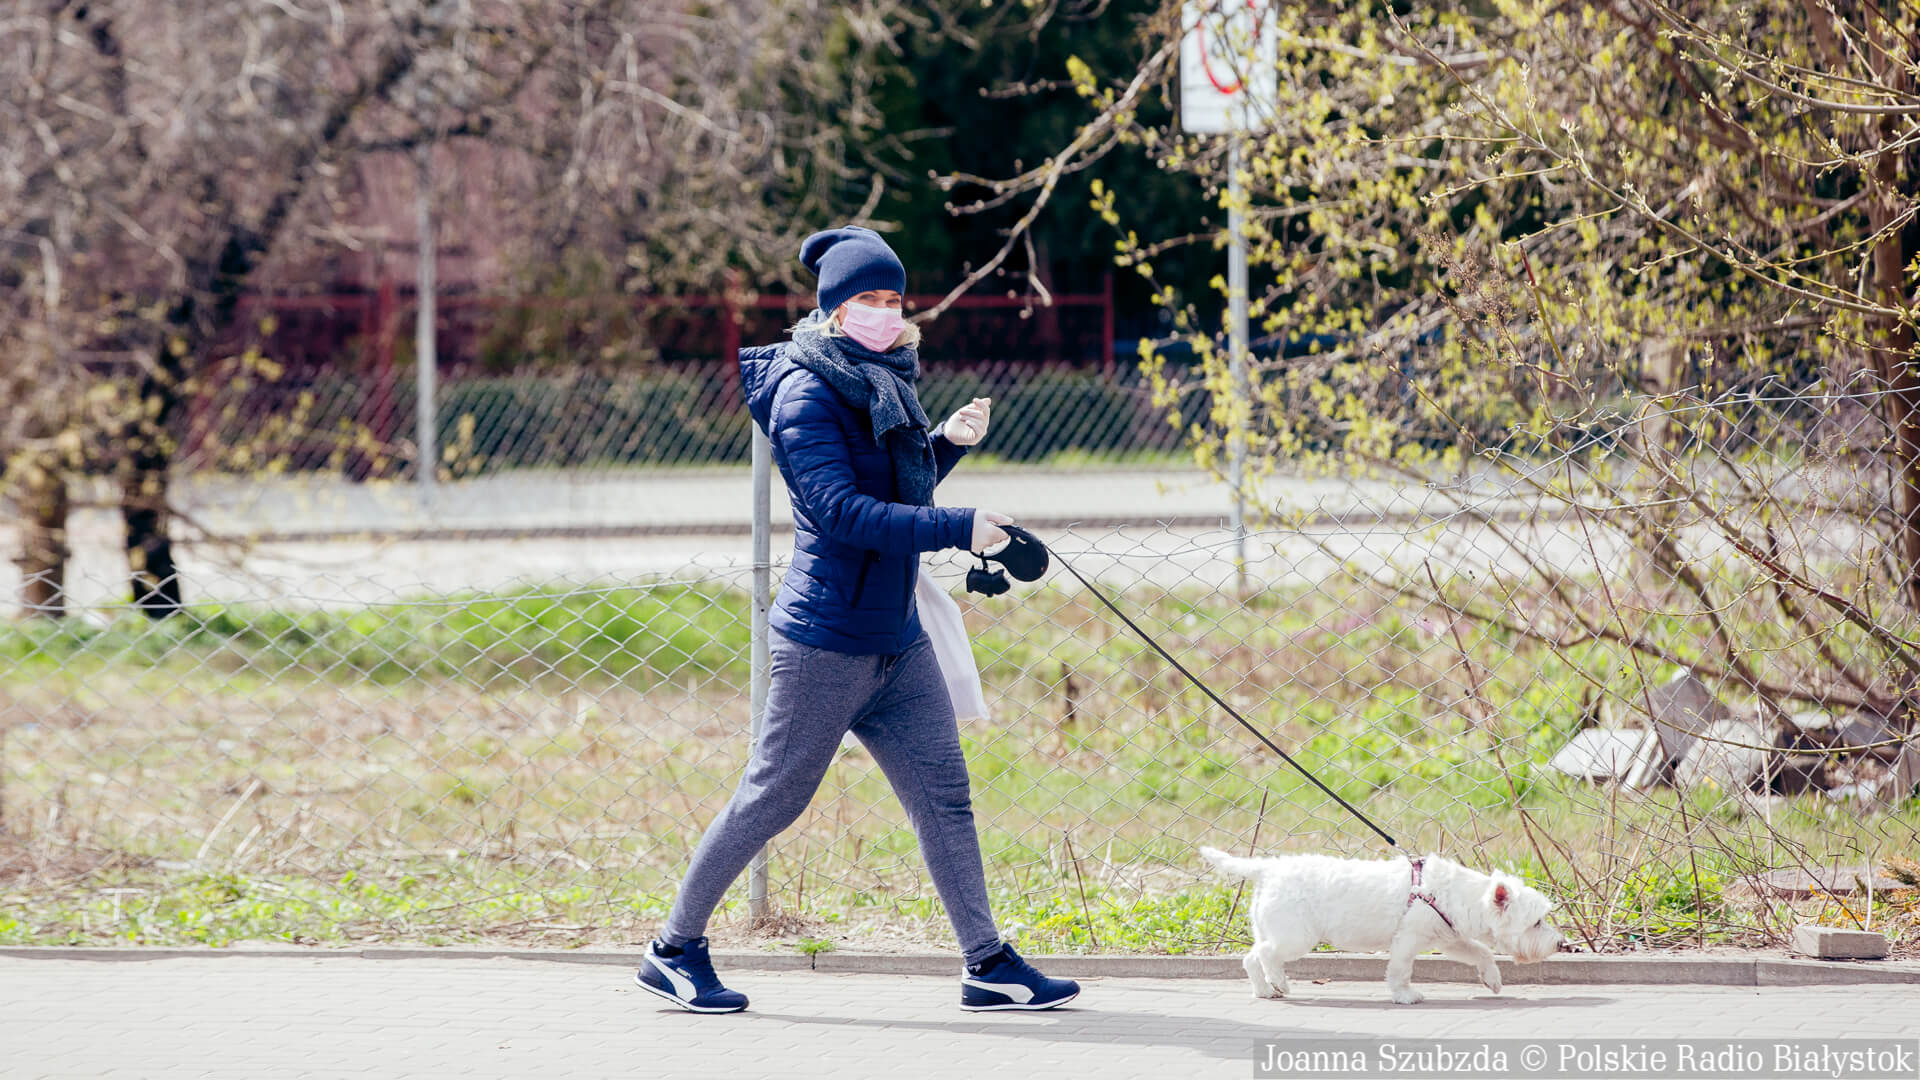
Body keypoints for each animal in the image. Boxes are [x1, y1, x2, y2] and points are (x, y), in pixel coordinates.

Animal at [1199, 847, 1564, 1004]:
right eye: (1536, 922)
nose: (1560, 943)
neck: (1458, 894)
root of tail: (1268, 869)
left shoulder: (1449, 939)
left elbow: (1481, 953)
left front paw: (1493, 981)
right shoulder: (1408, 940)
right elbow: (1400, 971)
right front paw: (1405, 996)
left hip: (1271, 928)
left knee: (1251, 957)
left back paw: (1265, 990)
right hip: (1294, 936)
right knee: (1265, 955)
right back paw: (1280, 983)